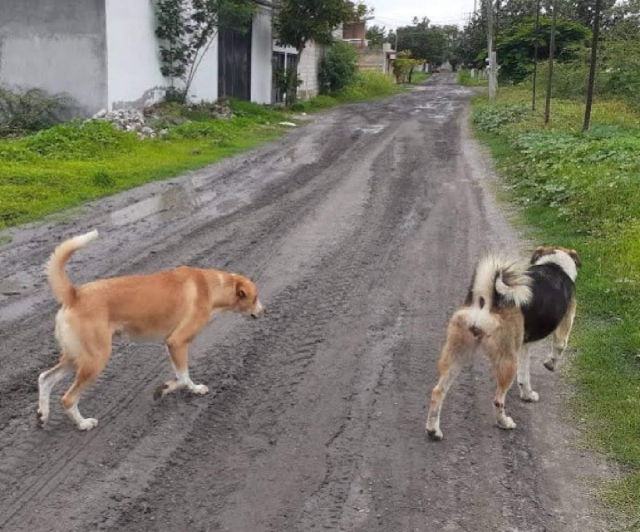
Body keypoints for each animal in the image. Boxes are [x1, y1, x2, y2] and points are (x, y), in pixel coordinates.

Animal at [37, 231, 264, 430]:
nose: (263, 311)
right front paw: (170, 389)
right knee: (68, 399)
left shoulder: (172, 344)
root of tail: (75, 294)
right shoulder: (177, 342)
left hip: (77, 357)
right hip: (95, 359)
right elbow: (183, 378)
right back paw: (83, 423)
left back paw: (43, 414)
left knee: (45, 378)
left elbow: (182, 376)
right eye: (255, 298)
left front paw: (182, 388)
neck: (210, 286)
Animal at [424, 247, 580, 438]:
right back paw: (504, 423)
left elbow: (524, 377)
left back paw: (433, 430)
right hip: (507, 362)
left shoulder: (523, 345)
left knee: (438, 391)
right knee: (498, 400)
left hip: (457, 353)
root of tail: (487, 304)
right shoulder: (566, 321)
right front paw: (550, 364)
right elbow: (559, 347)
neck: (554, 265)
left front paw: (527, 395)